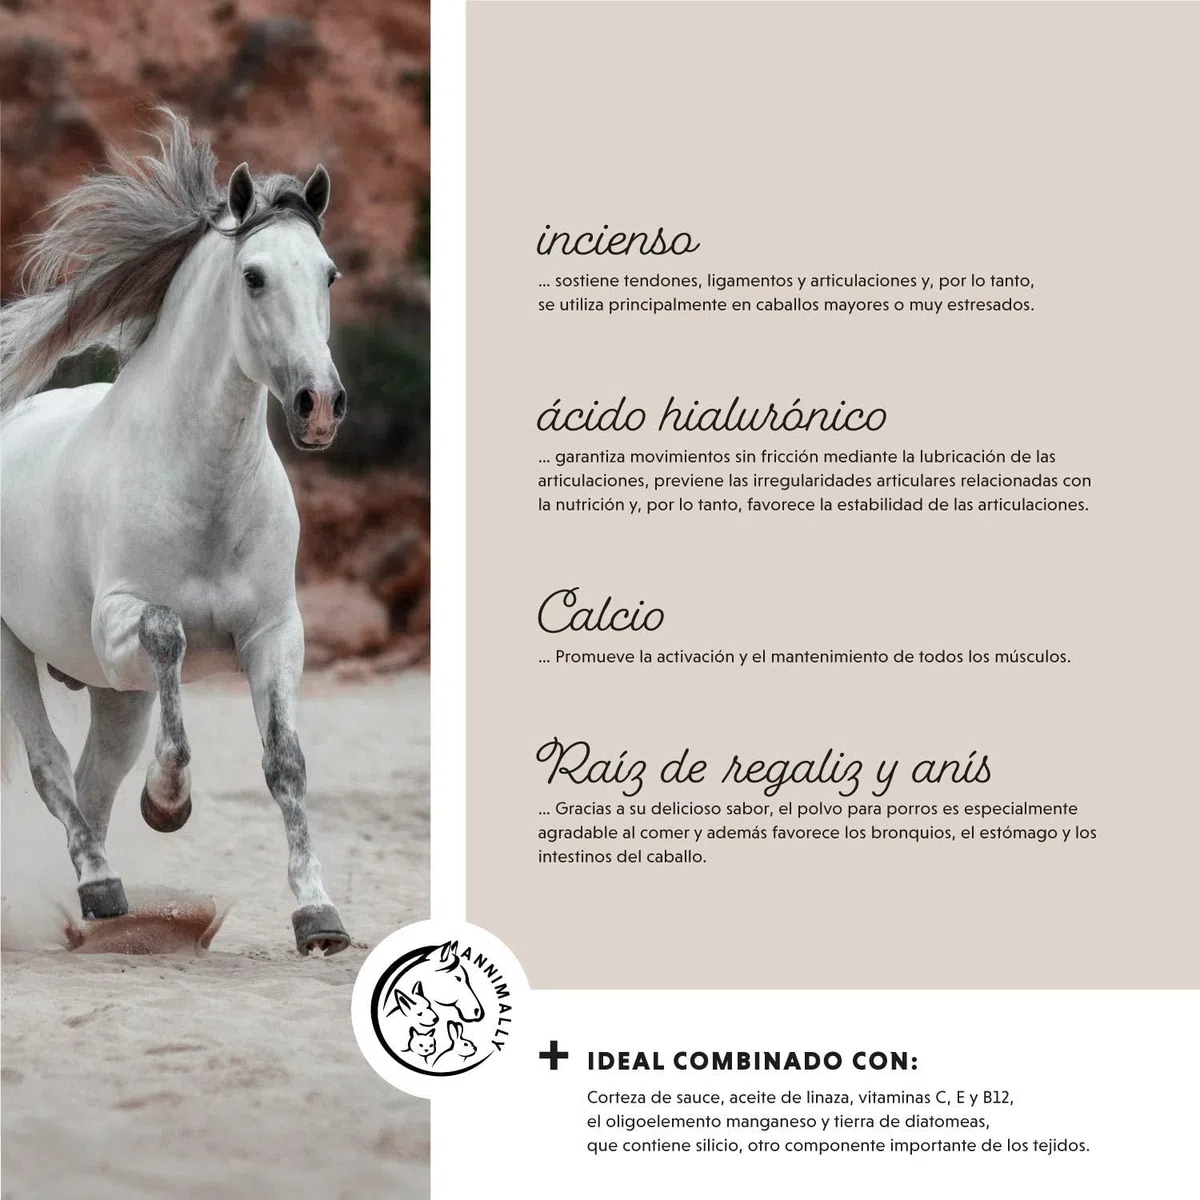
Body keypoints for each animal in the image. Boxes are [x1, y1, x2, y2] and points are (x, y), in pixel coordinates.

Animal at [0, 110, 352, 955]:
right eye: (254, 276)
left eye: (327, 275)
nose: (320, 405)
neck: (205, 489)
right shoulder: (121, 621)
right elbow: (171, 636)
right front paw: (167, 802)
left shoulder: (273, 632)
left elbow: (285, 762)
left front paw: (318, 915)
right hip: (17, 654)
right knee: (51, 768)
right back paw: (100, 885)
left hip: (113, 695)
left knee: (91, 782)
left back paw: (97, 907)